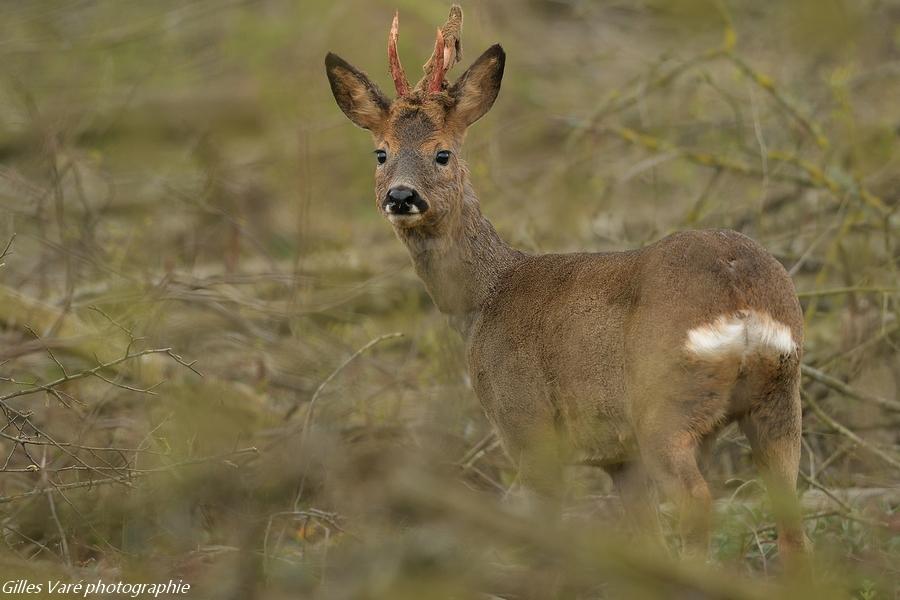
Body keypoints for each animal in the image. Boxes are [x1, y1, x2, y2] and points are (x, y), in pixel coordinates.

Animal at [326, 4, 808, 564]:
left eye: (442, 153)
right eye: (381, 153)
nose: (401, 196)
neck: (486, 297)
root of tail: (741, 298)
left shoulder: (526, 422)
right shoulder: (617, 456)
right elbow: (645, 536)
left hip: (665, 405)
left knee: (697, 501)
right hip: (779, 397)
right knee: (791, 513)